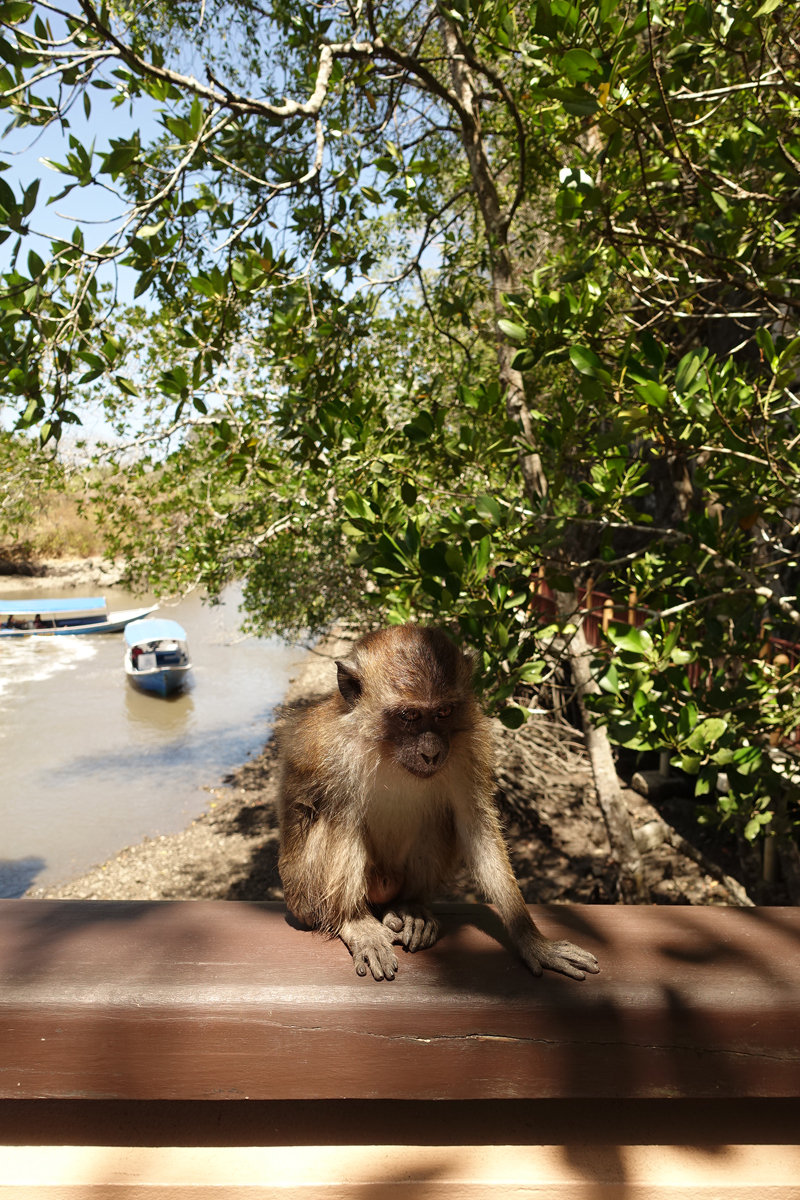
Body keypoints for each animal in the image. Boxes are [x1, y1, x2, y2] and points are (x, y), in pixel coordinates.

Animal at [278, 624, 597, 979]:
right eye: (409, 715)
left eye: (443, 712)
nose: (431, 752)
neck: (386, 747)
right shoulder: (329, 750)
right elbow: (321, 811)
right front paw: (353, 922)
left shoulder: (469, 745)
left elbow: (476, 826)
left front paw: (533, 940)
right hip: (310, 892)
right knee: (341, 819)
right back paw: (354, 919)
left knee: (435, 821)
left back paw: (411, 908)